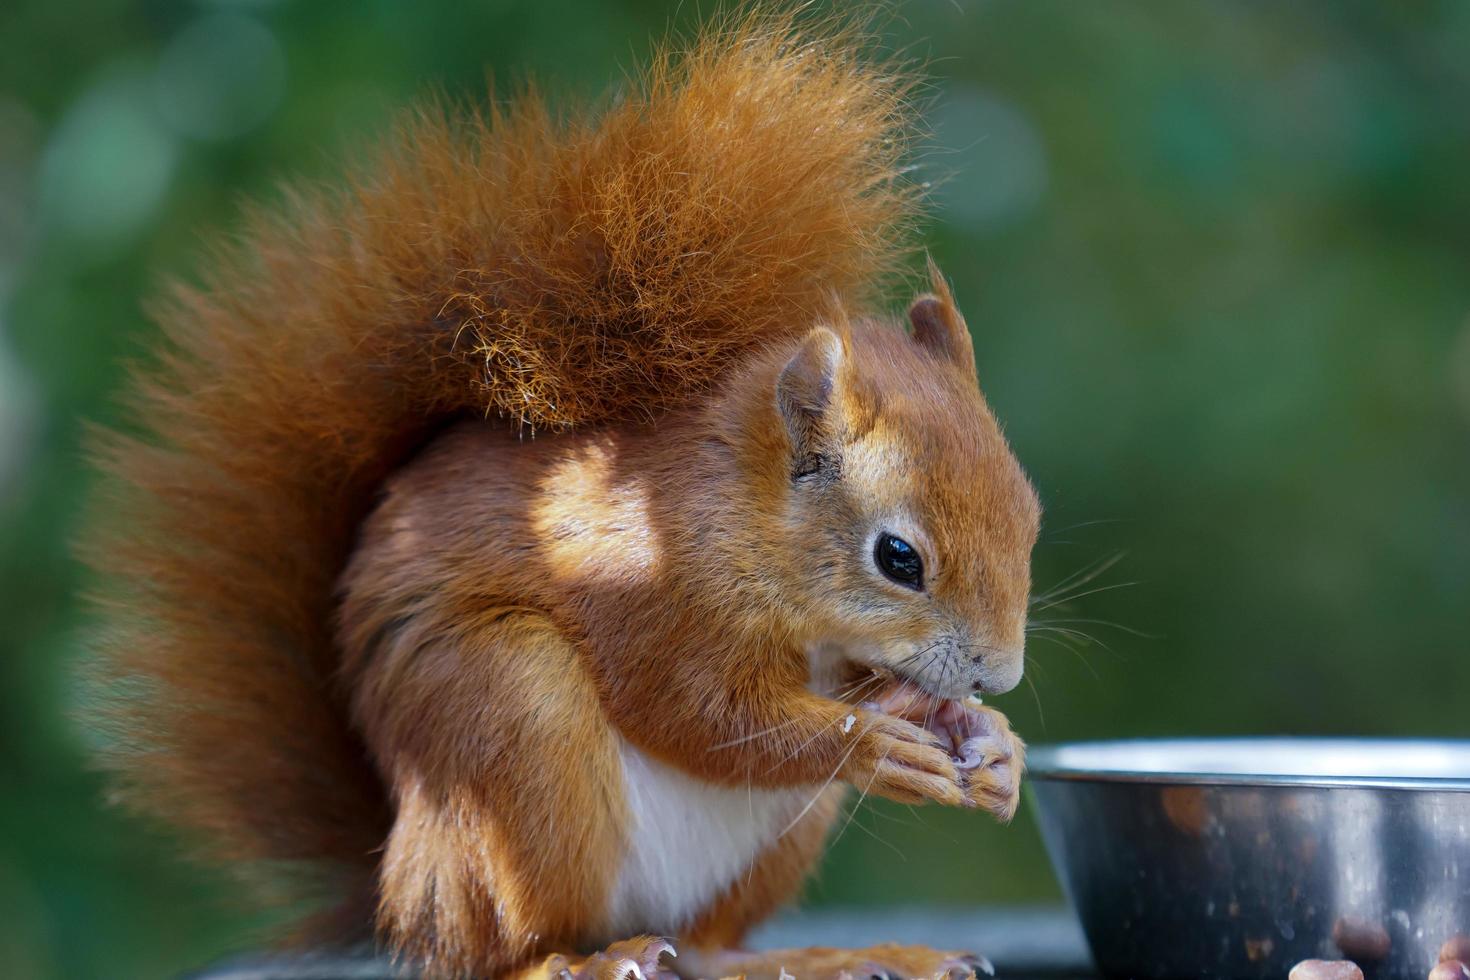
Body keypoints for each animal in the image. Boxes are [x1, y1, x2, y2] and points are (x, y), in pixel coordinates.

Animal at [83, 9, 1046, 980]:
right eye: (899, 558)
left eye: (1031, 517)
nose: (1000, 675)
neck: (741, 522)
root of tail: (397, 891)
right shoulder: (646, 596)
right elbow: (703, 717)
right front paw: (872, 739)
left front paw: (995, 745)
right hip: (509, 723)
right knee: (494, 949)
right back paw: (573, 960)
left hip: (761, 849)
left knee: (708, 949)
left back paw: (839, 953)